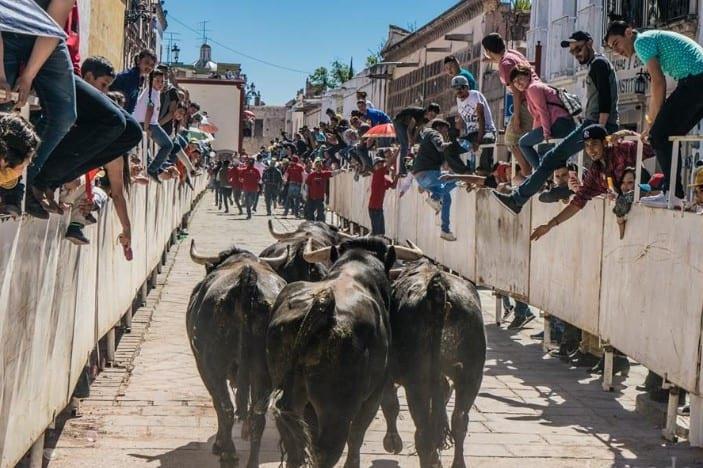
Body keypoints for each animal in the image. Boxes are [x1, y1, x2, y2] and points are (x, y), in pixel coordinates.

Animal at [187, 239, 288, 466]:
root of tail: (246, 279)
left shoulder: (202, 365)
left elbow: (219, 404)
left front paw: (219, 444)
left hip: (211, 365)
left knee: (224, 407)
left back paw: (228, 452)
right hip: (265, 371)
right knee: (257, 413)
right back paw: (251, 461)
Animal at [266, 238, 424, 468]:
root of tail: (321, 308)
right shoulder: (373, 394)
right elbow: (358, 432)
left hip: (293, 403)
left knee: (296, 449)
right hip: (337, 409)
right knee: (329, 449)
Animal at [380, 260, 490, 468]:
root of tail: (438, 289)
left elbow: (390, 403)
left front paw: (392, 441)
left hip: (418, 382)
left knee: (423, 432)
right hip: (472, 374)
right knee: (459, 421)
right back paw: (455, 462)